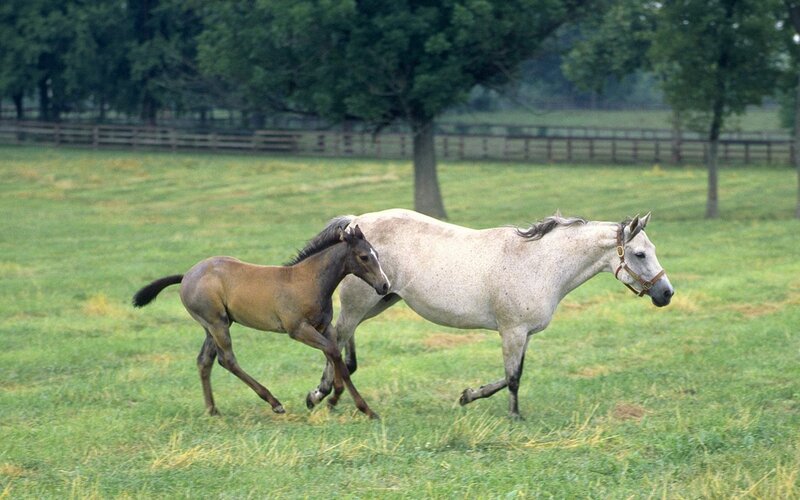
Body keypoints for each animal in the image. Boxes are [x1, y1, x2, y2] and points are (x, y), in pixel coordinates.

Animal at [132, 225, 390, 419]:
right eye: (364, 257)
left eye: (377, 254)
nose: (384, 285)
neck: (307, 281)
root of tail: (186, 275)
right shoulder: (298, 329)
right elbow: (334, 352)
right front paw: (360, 407)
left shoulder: (324, 328)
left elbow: (336, 355)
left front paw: (329, 396)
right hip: (217, 323)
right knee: (227, 360)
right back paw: (274, 402)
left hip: (212, 325)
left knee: (205, 361)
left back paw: (213, 410)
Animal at [305, 209, 674, 419]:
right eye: (640, 254)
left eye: (652, 250)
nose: (666, 293)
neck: (540, 263)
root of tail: (355, 224)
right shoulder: (512, 332)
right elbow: (512, 378)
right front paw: (514, 417)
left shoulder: (523, 335)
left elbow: (512, 374)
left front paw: (468, 396)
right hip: (360, 303)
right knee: (337, 339)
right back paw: (321, 395)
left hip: (381, 299)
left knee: (342, 343)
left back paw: (330, 396)